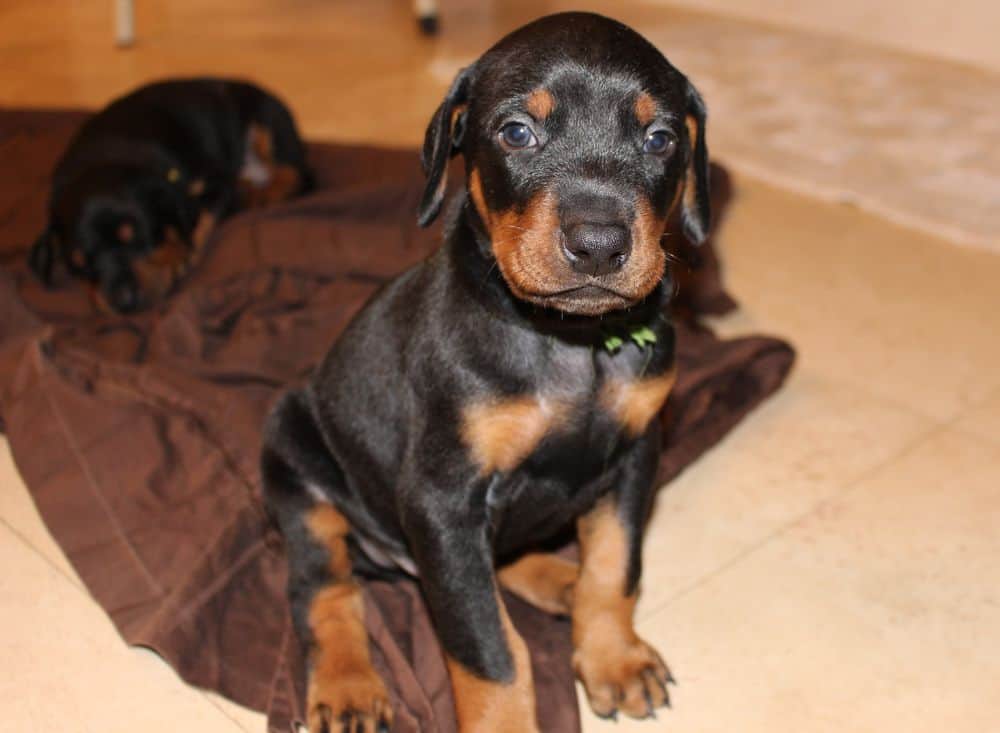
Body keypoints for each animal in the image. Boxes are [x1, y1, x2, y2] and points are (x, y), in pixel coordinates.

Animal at [29, 78, 310, 312]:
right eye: (79, 264)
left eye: (141, 237)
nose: (124, 303)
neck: (101, 160)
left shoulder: (216, 180)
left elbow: (200, 219)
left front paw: (180, 257)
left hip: (268, 120)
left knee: (294, 173)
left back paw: (265, 193)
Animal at [258, 12, 712, 732]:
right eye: (517, 131)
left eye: (660, 138)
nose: (599, 245)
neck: (569, 341)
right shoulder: (443, 498)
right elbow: (489, 648)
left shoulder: (638, 451)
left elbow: (615, 566)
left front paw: (613, 657)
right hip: (296, 463)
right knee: (324, 590)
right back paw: (348, 685)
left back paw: (559, 580)